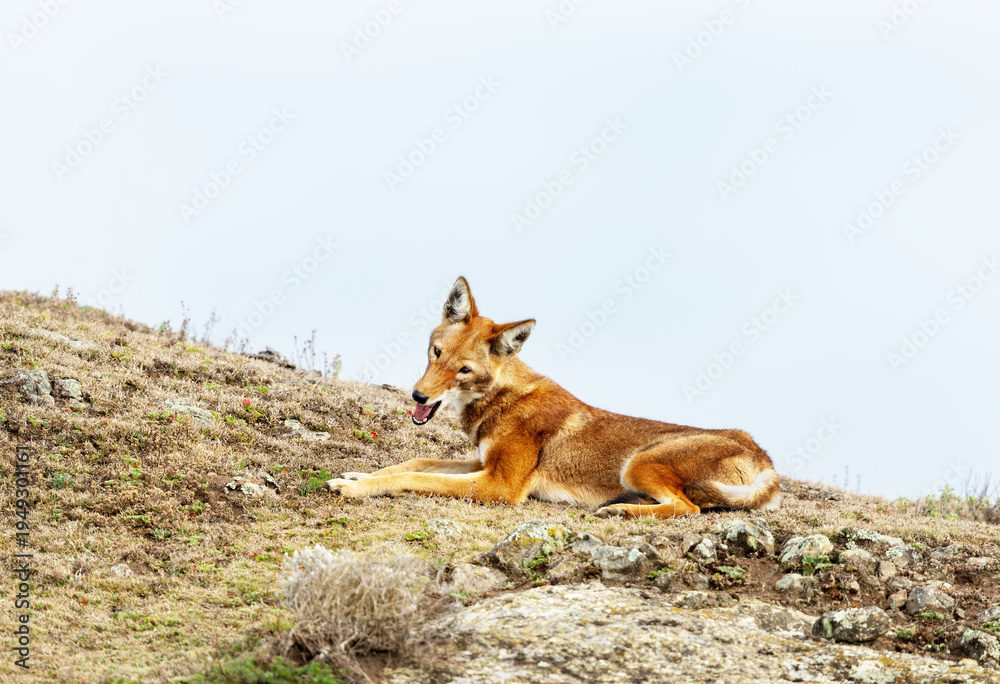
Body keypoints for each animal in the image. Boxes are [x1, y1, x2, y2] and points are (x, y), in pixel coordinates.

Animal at [327, 277, 780, 517]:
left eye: (463, 371)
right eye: (436, 353)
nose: (418, 394)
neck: (504, 399)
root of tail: (764, 457)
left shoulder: (501, 485)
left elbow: (415, 477)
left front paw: (355, 488)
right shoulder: (482, 462)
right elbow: (416, 462)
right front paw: (358, 476)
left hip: (638, 464)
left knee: (689, 508)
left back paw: (621, 510)